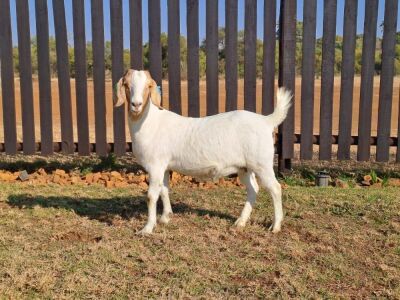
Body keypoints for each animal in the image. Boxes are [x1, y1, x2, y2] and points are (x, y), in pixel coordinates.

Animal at [114, 69, 292, 234]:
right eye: (127, 85)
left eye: (148, 86)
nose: (136, 105)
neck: (150, 122)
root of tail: (266, 121)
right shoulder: (164, 166)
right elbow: (164, 190)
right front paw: (166, 217)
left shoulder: (155, 166)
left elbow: (151, 196)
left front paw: (147, 229)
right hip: (245, 167)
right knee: (253, 189)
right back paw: (240, 222)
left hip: (262, 164)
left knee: (275, 188)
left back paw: (275, 226)